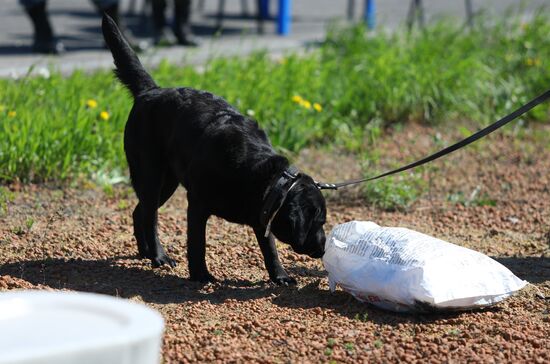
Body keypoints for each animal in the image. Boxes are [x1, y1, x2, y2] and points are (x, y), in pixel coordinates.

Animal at [102, 14, 328, 284]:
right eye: (319, 222)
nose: (324, 248)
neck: (255, 173)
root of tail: (151, 91)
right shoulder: (197, 204)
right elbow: (197, 244)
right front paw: (200, 274)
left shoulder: (262, 214)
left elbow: (270, 249)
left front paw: (280, 275)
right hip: (150, 175)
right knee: (150, 216)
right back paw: (158, 255)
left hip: (167, 183)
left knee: (141, 212)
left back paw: (146, 252)